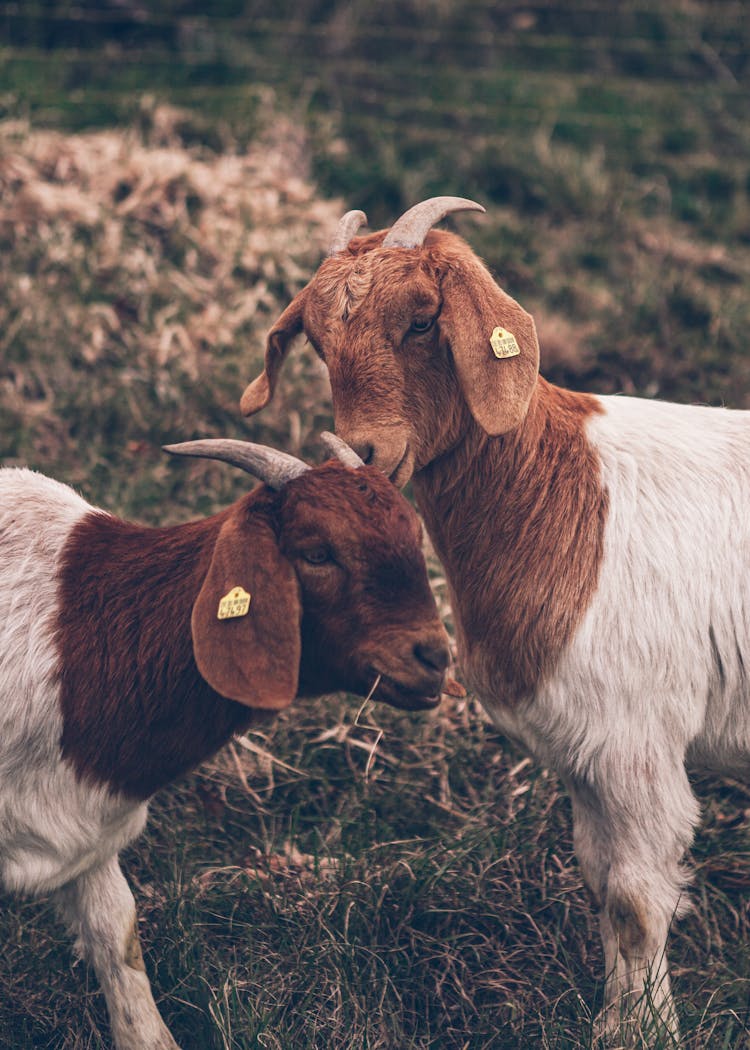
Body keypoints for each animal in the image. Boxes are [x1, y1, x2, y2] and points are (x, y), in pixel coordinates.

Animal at [0, 434, 443, 1050]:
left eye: (414, 537)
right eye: (318, 553)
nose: (436, 658)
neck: (80, 640)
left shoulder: (83, 830)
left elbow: (117, 936)